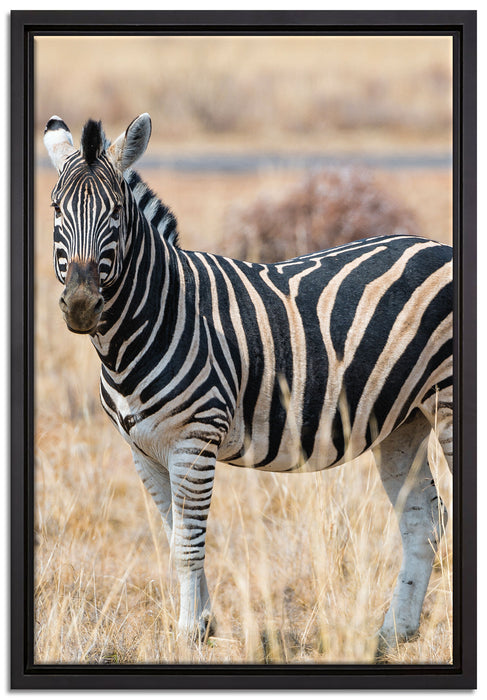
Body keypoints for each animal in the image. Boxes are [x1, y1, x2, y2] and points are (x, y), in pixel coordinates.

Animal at [43, 113, 453, 658]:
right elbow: (175, 538)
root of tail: (440, 245)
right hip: (404, 421)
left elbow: (189, 543)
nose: (82, 305)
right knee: (422, 523)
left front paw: (188, 636)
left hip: (449, 405)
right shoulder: (144, 449)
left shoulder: (195, 440)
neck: (152, 320)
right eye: (55, 209)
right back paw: (392, 634)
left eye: (116, 212)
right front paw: (202, 625)